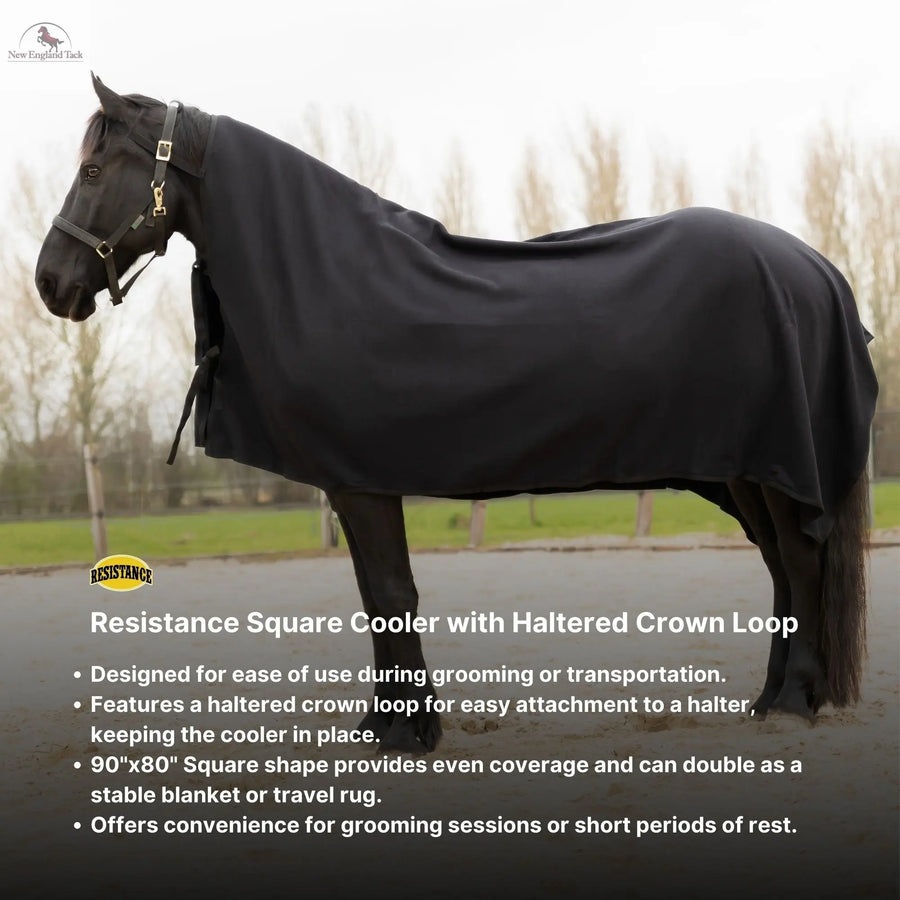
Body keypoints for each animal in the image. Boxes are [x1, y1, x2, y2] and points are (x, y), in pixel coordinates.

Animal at [35, 76, 877, 753]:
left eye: (92, 169)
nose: (50, 283)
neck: (330, 275)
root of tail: (814, 266)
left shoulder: (363, 481)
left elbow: (390, 594)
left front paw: (408, 733)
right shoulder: (350, 481)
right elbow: (376, 599)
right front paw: (386, 725)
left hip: (772, 465)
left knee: (800, 561)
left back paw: (793, 701)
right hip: (745, 470)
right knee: (782, 565)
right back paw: (768, 700)